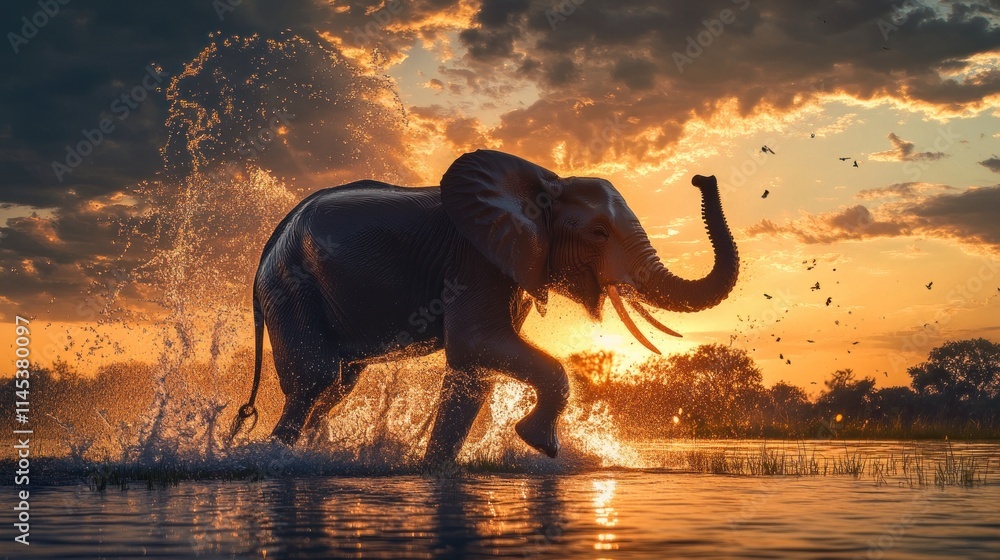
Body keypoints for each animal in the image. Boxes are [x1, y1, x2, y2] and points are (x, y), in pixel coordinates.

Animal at [229, 149, 739, 464]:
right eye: (598, 233)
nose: (703, 178)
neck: (542, 181)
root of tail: (269, 247)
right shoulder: (476, 261)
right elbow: (477, 345)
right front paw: (540, 444)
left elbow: (473, 372)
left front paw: (433, 469)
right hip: (291, 287)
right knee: (315, 378)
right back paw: (273, 458)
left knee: (338, 386)